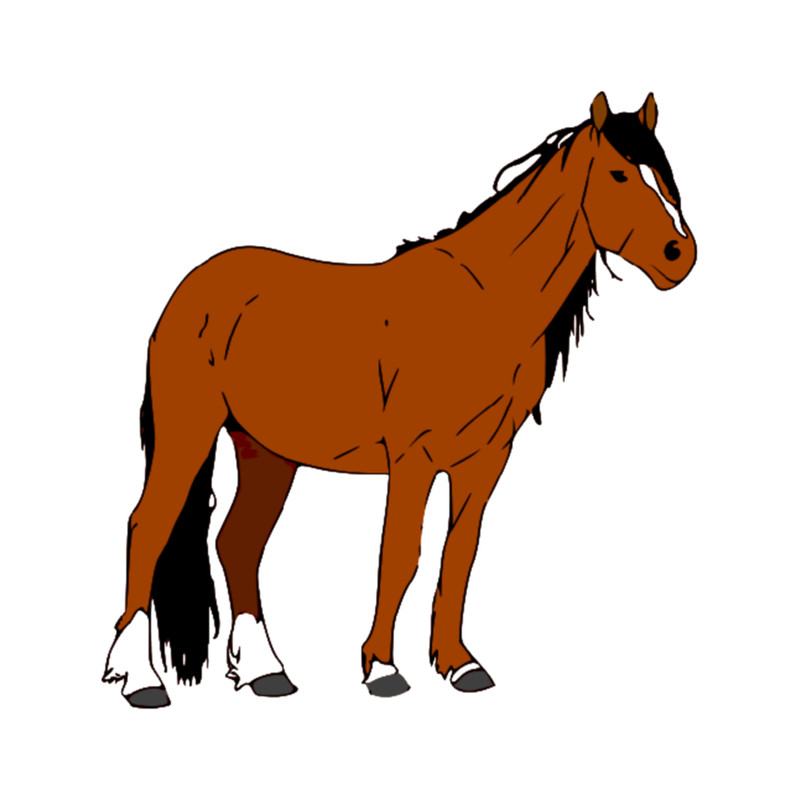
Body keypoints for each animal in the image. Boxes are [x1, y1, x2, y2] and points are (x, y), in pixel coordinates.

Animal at [103, 92, 696, 707]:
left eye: (666, 172)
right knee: (148, 526)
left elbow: (458, 557)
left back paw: (267, 672)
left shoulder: (485, 460)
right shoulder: (414, 457)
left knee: (239, 542)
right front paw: (383, 669)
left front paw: (460, 665)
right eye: (619, 173)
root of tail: (192, 288)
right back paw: (139, 678)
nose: (680, 253)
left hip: (266, 451)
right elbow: (400, 557)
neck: (484, 307)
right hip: (190, 429)